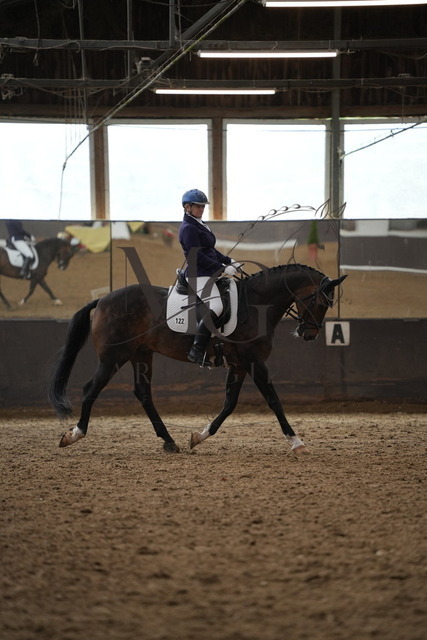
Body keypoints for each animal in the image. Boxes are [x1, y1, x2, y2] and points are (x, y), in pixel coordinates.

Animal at [48, 263, 346, 454]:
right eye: (323, 303)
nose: (309, 334)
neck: (256, 304)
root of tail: (102, 301)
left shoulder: (239, 365)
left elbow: (229, 404)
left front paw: (199, 437)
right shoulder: (254, 362)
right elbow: (274, 401)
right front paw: (296, 442)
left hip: (140, 355)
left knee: (143, 393)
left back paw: (169, 442)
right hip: (113, 357)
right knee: (91, 389)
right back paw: (73, 435)